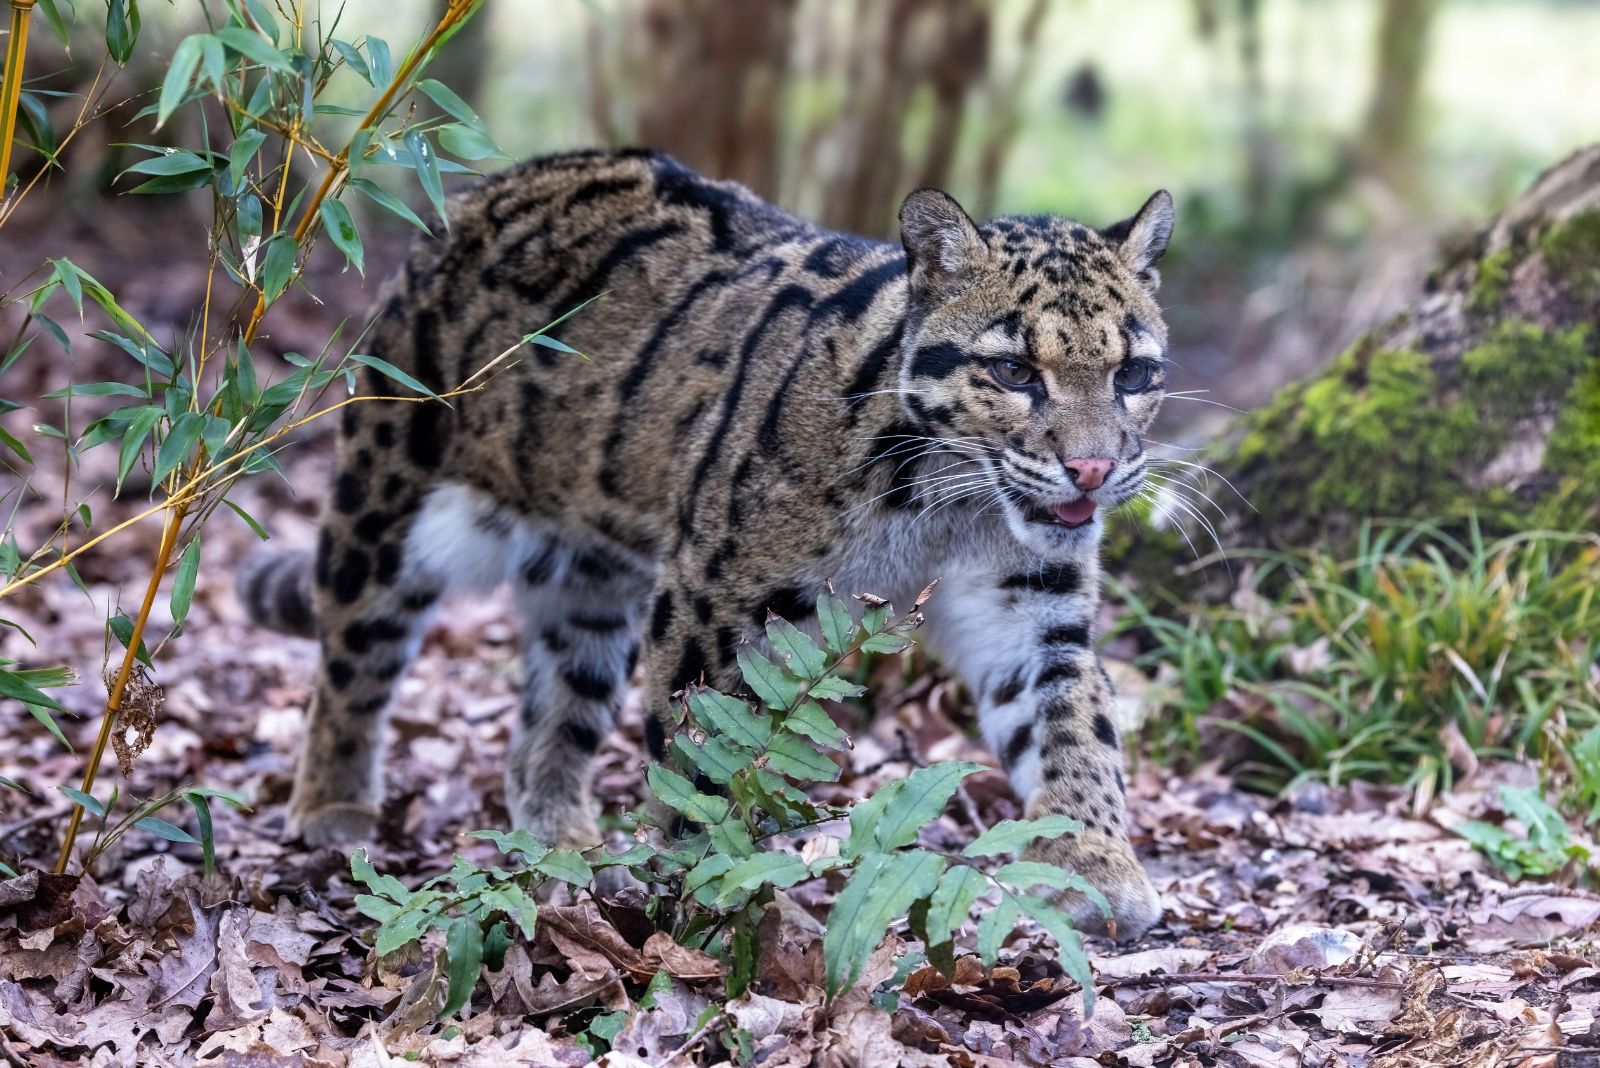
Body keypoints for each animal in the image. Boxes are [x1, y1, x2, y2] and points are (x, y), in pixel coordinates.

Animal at [243, 147, 1184, 933]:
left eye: (1134, 374)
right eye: (1015, 371)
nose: (1093, 470)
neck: (950, 506)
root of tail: (484, 184)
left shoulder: (1032, 606)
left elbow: (1074, 722)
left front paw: (1096, 860)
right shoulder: (718, 594)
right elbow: (700, 753)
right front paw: (701, 884)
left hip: (592, 578)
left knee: (555, 708)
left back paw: (561, 837)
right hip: (392, 483)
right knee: (355, 645)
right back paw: (332, 807)